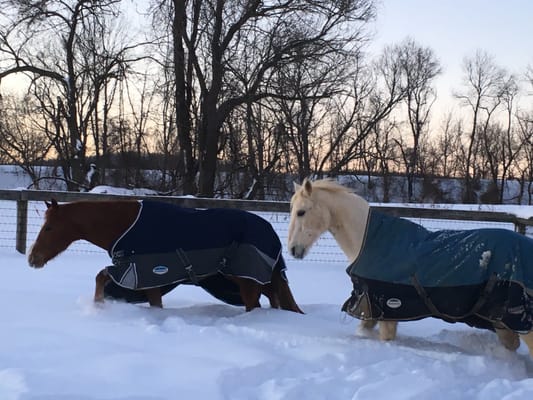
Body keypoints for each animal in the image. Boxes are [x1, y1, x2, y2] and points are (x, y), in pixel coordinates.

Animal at [29, 198, 302, 314]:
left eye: (49, 228)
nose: (33, 258)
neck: (124, 225)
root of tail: (270, 232)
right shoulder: (148, 278)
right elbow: (153, 303)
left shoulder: (138, 271)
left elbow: (100, 276)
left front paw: (99, 308)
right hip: (257, 281)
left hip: (247, 282)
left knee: (255, 306)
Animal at [288, 178, 532, 356]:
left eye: (301, 212)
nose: (292, 250)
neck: (370, 241)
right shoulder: (371, 312)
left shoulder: (387, 314)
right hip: (502, 322)